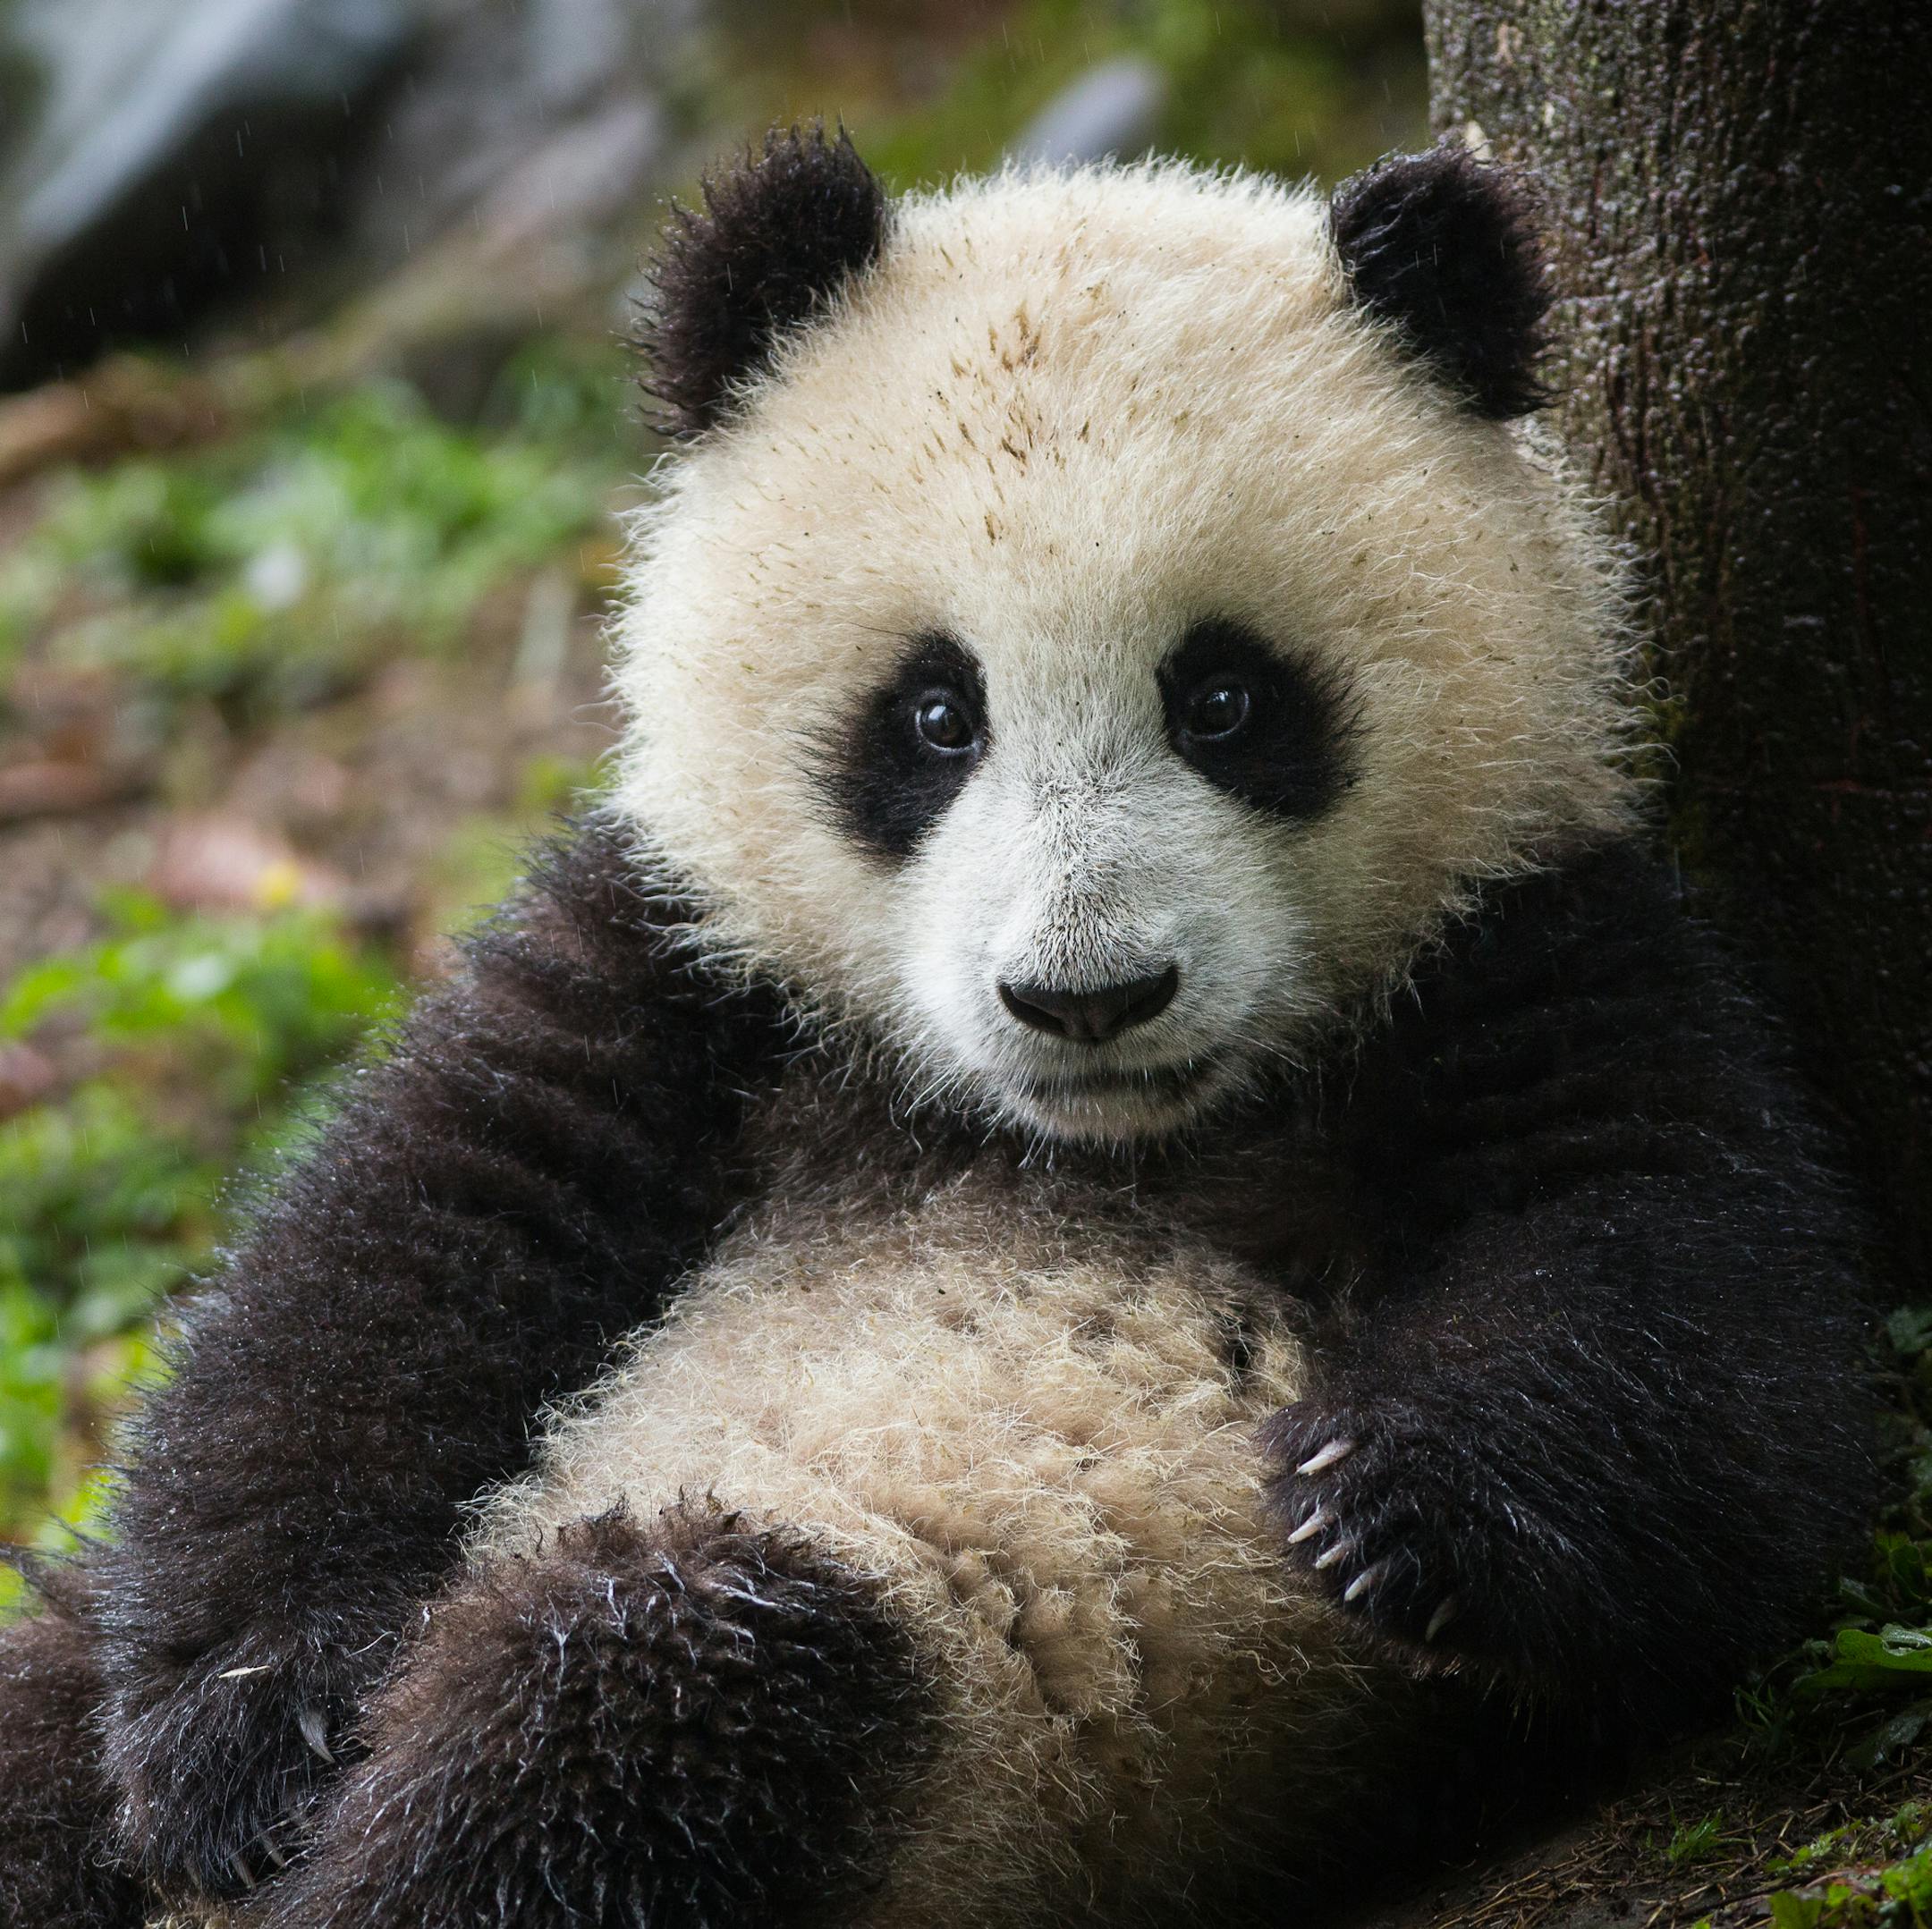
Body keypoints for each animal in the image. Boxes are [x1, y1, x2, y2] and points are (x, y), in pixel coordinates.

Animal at [0, 128, 1869, 1929]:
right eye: (933, 714)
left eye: (1226, 698)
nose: (1087, 994)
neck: (1085, 1134)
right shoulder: (695, 964)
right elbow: (395, 1251)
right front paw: (256, 1727)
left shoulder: (1536, 938)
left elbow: (1695, 1318)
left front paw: (1387, 1508)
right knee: (59, 1691)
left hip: (919, 1671)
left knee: (624, 1701)